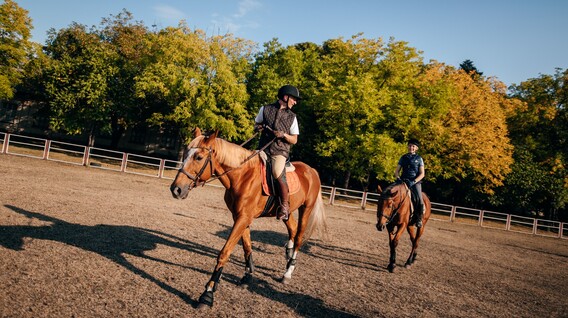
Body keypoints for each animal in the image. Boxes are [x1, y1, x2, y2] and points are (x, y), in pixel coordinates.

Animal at [169, 127, 326, 308]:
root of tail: (312, 170)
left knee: (299, 236)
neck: (242, 176)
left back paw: (288, 272)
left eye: (199, 157)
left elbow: (225, 252)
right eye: (186, 153)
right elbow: (247, 247)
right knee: (292, 230)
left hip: (306, 209)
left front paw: (207, 294)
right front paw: (247, 276)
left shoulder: (243, 218)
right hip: (286, 211)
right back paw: (288, 256)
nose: (176, 189)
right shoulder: (240, 217)